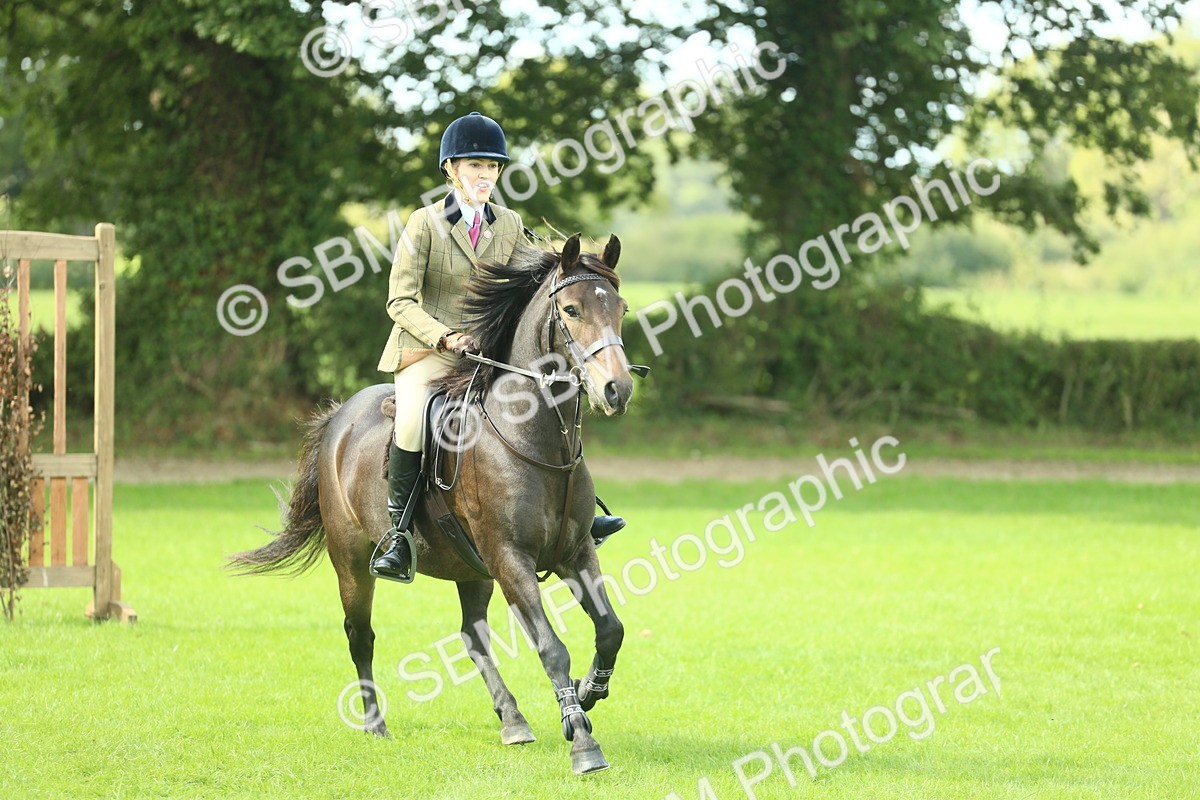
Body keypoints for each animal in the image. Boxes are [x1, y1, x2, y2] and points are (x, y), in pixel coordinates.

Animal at [229, 233, 634, 775]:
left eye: (621, 309)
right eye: (571, 309)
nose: (617, 389)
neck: (536, 439)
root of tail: (340, 416)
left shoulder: (575, 554)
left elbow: (610, 629)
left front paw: (588, 694)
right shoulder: (511, 560)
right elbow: (552, 648)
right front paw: (583, 742)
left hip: (471, 567)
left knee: (472, 636)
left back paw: (513, 720)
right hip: (353, 561)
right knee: (360, 635)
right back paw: (376, 725)